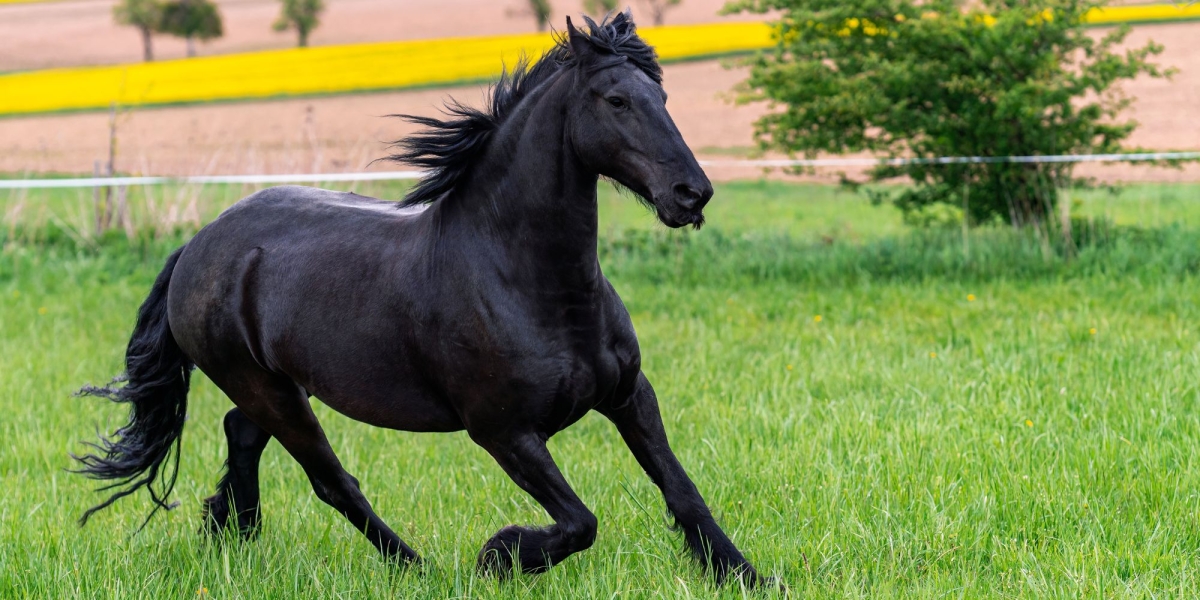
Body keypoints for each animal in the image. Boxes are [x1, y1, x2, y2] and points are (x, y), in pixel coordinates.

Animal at [74, 12, 767, 587]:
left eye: (663, 98)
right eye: (617, 100)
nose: (692, 194)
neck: (532, 285)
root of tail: (198, 244)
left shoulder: (629, 396)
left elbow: (682, 491)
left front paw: (747, 577)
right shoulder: (503, 431)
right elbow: (580, 521)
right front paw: (499, 554)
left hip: (278, 386)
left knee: (242, 435)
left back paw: (233, 539)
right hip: (264, 387)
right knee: (332, 480)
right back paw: (416, 567)